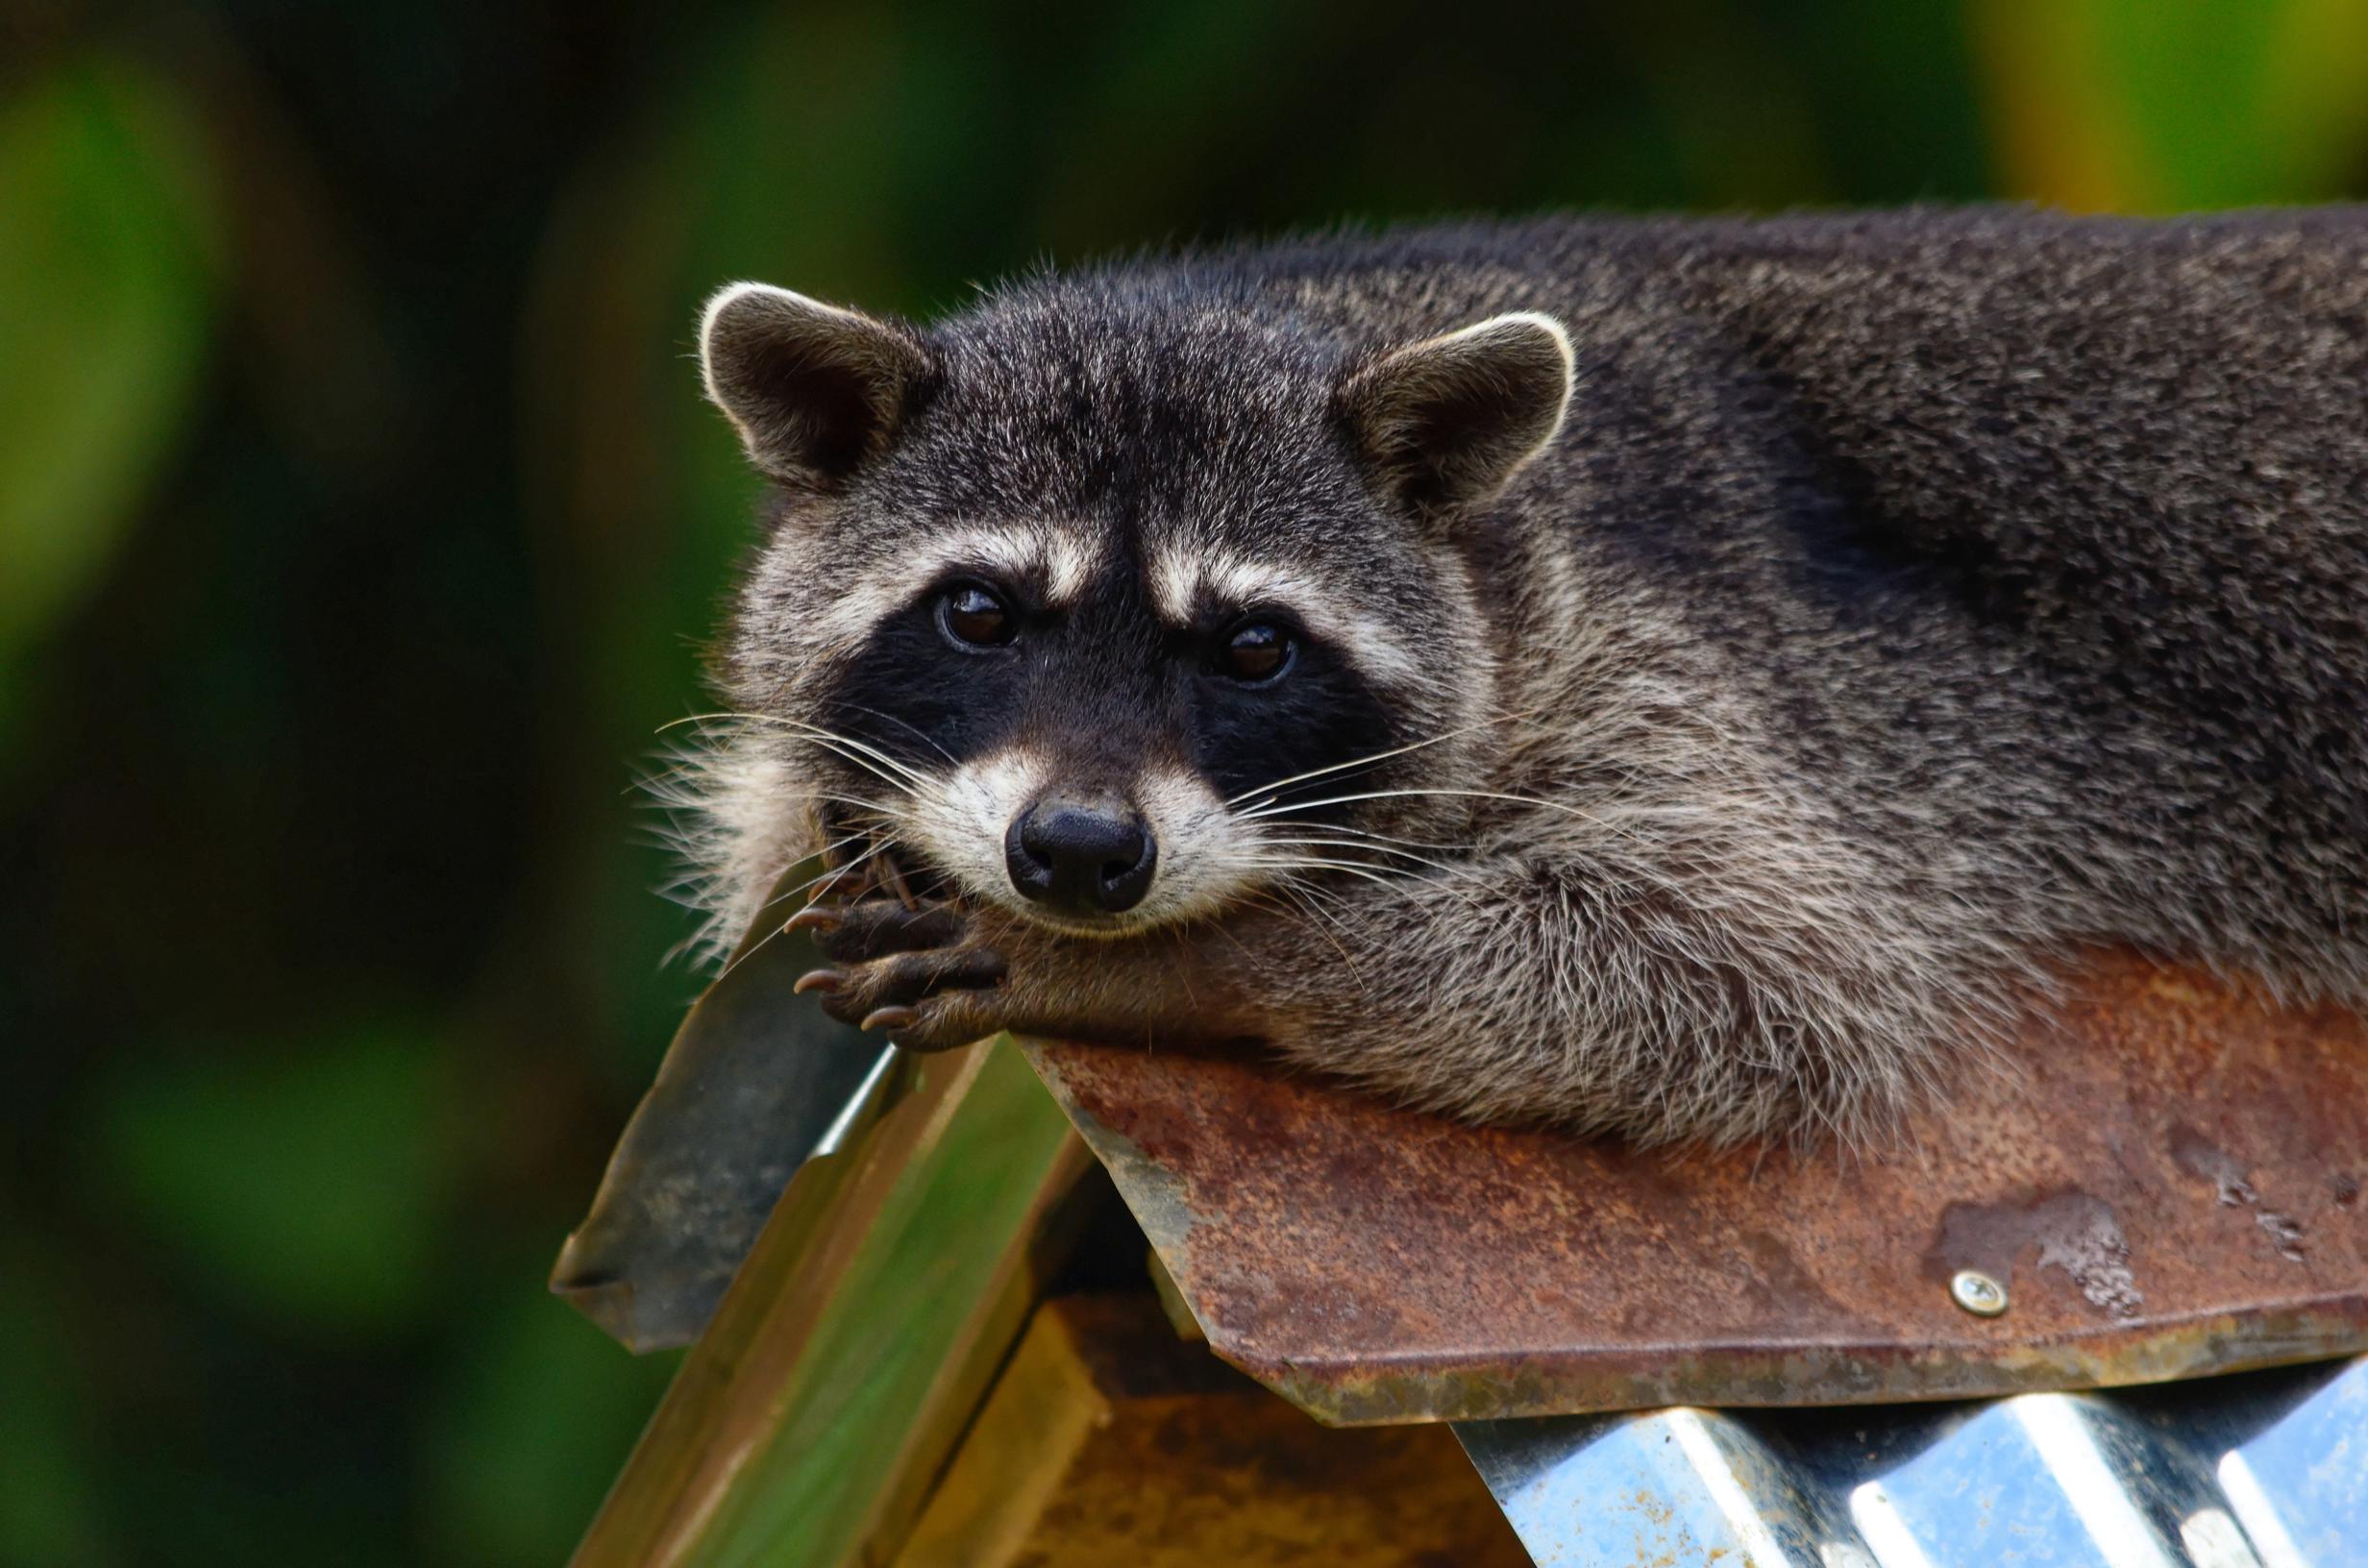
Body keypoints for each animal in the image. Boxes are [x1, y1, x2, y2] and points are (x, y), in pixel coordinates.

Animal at [672, 208, 2368, 1151]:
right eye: (978, 615)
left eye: (1254, 648)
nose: (1082, 858)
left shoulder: (1715, 681)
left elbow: (1754, 974)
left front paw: (1204, 966)